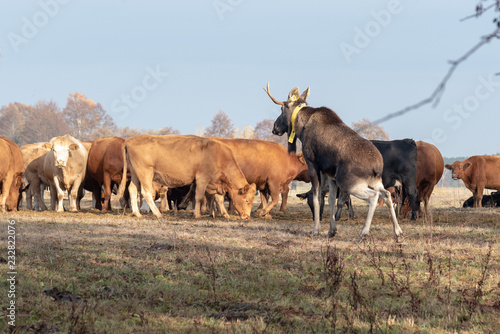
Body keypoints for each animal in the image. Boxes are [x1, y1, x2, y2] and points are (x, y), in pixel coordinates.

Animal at [114, 134, 256, 220]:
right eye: (246, 200)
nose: (247, 216)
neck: (219, 155)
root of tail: (131, 139)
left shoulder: (217, 183)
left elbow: (219, 199)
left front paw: (225, 214)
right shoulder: (202, 178)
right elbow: (199, 197)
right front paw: (197, 214)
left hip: (135, 174)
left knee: (132, 189)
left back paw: (136, 213)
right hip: (145, 173)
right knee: (146, 192)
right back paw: (158, 213)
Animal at [266, 82, 402, 241]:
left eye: (282, 108)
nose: (275, 127)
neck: (300, 129)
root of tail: (377, 166)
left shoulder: (313, 164)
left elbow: (317, 198)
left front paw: (316, 230)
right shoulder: (329, 174)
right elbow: (331, 199)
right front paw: (331, 230)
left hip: (348, 182)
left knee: (373, 197)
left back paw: (363, 233)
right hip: (374, 181)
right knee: (386, 194)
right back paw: (398, 232)